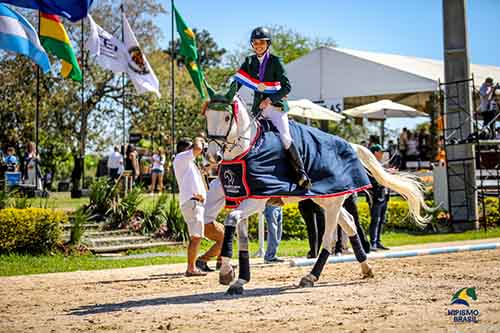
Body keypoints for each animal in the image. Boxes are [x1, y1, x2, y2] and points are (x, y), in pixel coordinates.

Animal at [203, 85, 430, 294]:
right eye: (206, 115)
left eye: (226, 117)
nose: (212, 156)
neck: (250, 148)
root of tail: (350, 145)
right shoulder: (240, 198)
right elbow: (239, 236)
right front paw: (238, 279)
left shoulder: (257, 200)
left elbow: (231, 220)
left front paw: (226, 272)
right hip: (328, 199)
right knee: (349, 223)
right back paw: (366, 268)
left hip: (332, 203)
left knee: (329, 239)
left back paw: (311, 276)